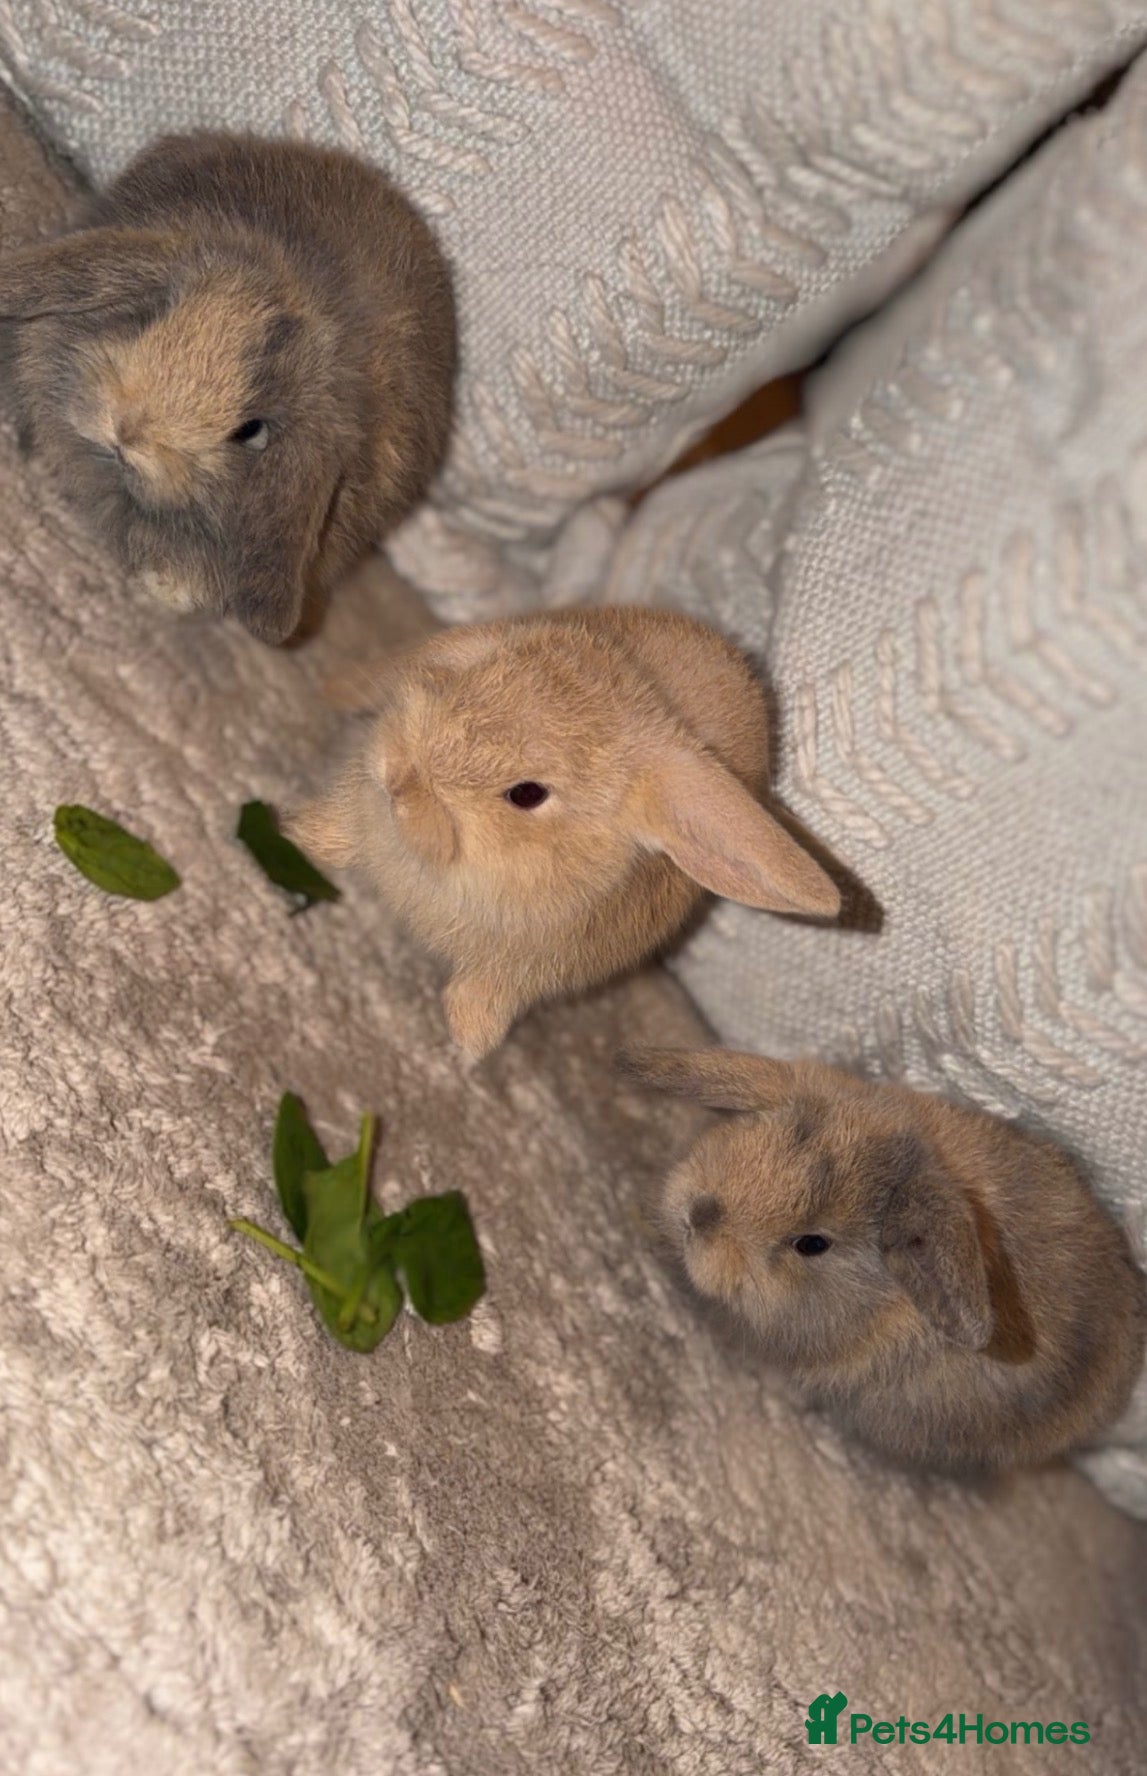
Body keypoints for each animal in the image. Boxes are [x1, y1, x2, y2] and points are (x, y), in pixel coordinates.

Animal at [287, 605, 841, 1057]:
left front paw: (466, 1045)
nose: (396, 777)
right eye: (471, 672)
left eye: (527, 794)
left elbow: (489, 992)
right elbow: (339, 833)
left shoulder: (526, 966)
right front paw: (296, 838)